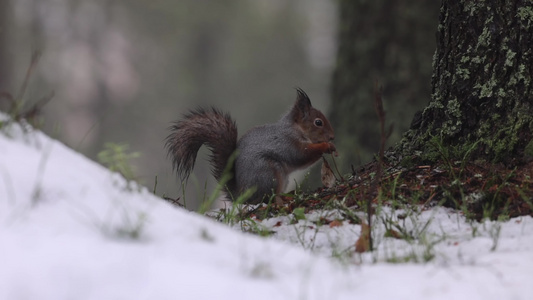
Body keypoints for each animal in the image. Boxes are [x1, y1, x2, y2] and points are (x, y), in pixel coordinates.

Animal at [164, 87, 334, 204]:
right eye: (318, 122)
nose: (332, 136)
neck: (295, 129)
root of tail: (242, 195)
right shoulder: (286, 142)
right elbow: (301, 155)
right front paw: (326, 146)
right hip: (268, 174)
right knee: (267, 198)